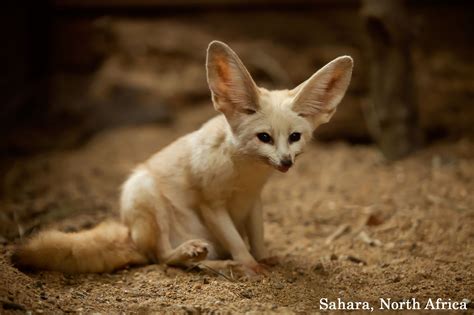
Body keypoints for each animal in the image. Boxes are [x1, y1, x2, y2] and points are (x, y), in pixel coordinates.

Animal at [12, 40, 352, 276]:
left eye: (295, 137)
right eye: (264, 138)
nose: (285, 162)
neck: (245, 175)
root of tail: (130, 234)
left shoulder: (254, 201)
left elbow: (257, 237)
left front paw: (265, 258)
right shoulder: (211, 205)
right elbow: (238, 242)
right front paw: (251, 267)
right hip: (146, 195)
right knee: (162, 258)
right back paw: (203, 258)